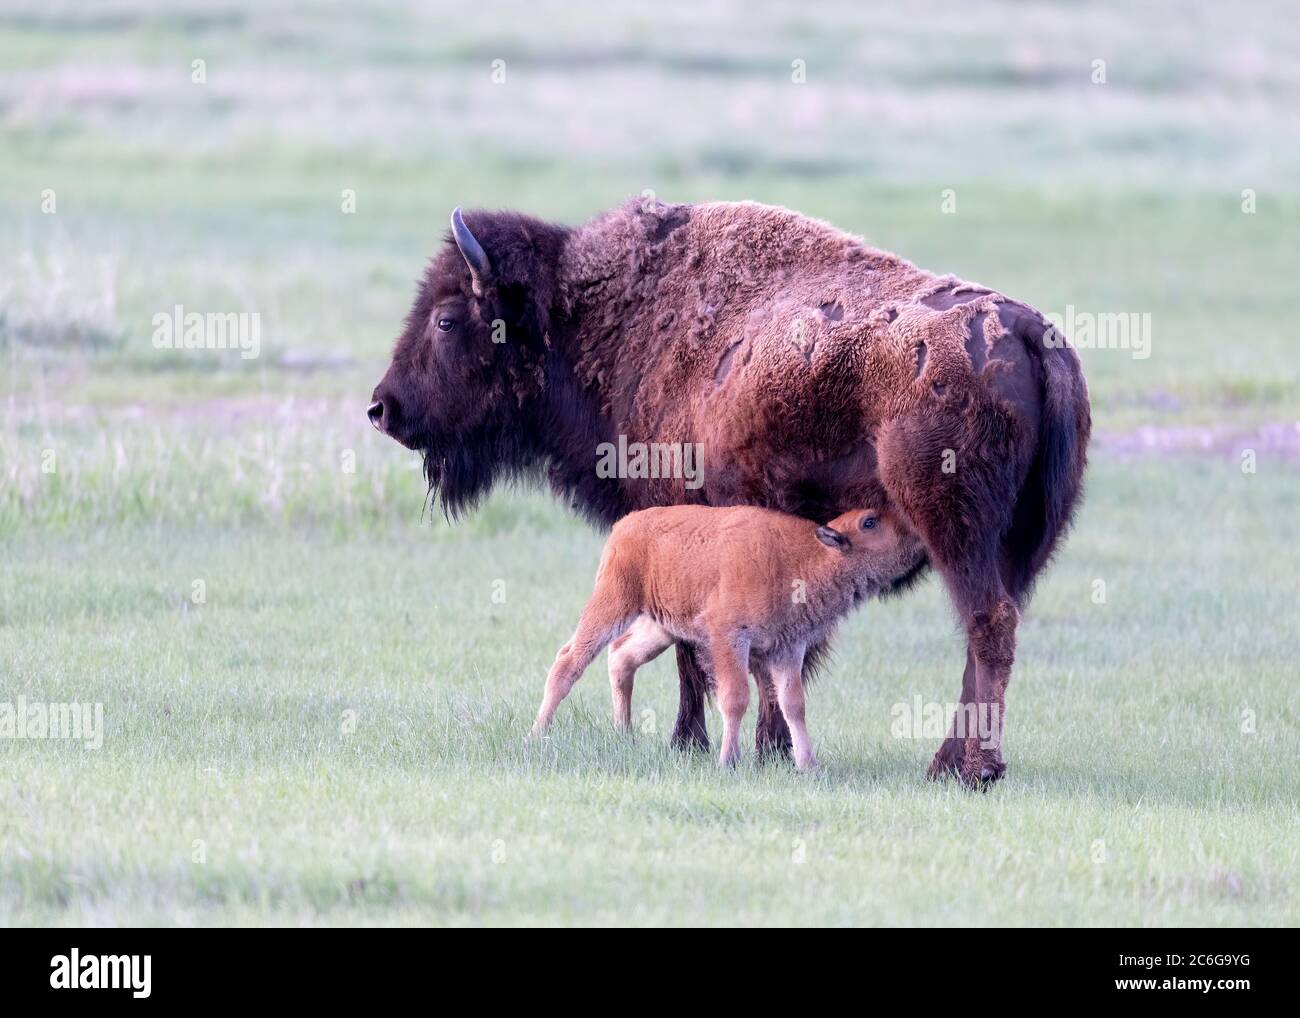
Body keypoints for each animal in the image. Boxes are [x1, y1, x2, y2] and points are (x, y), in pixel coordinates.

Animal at [369, 198, 1090, 787]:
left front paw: (688, 742)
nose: (382, 409)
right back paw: (954, 763)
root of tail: (1031, 336)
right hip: (1016, 548)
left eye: (446, 319)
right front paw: (769, 747)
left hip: (955, 532)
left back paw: (968, 769)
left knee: (986, 625)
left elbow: (694, 652)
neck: (605, 320)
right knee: (990, 631)